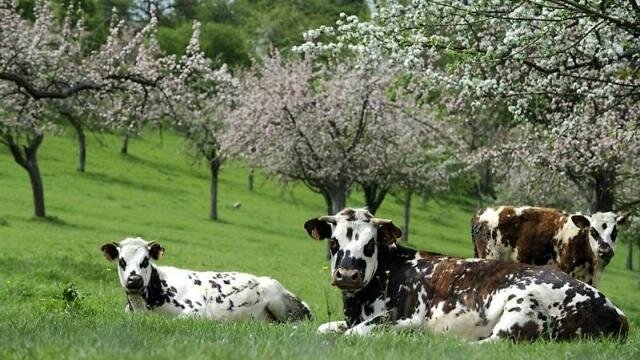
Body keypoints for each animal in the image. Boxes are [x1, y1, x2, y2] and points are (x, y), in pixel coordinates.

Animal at [470, 205, 632, 286]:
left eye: (614, 232)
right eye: (593, 231)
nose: (605, 250)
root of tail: (481, 213)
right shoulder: (565, 269)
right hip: (490, 256)